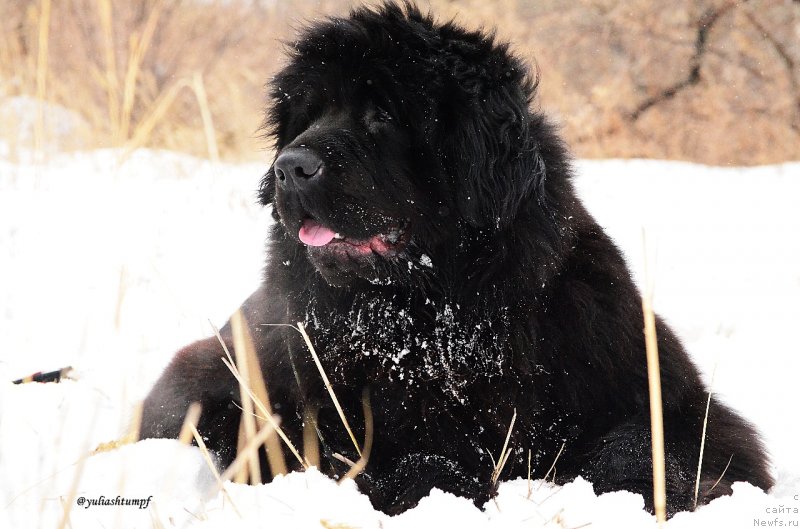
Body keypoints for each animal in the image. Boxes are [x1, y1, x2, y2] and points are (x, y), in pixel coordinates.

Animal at [141, 2, 772, 512]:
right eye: (308, 114)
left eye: (382, 114)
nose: (290, 166)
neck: (441, 322)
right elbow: (401, 459)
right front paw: (444, 485)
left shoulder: (672, 398)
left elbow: (650, 443)